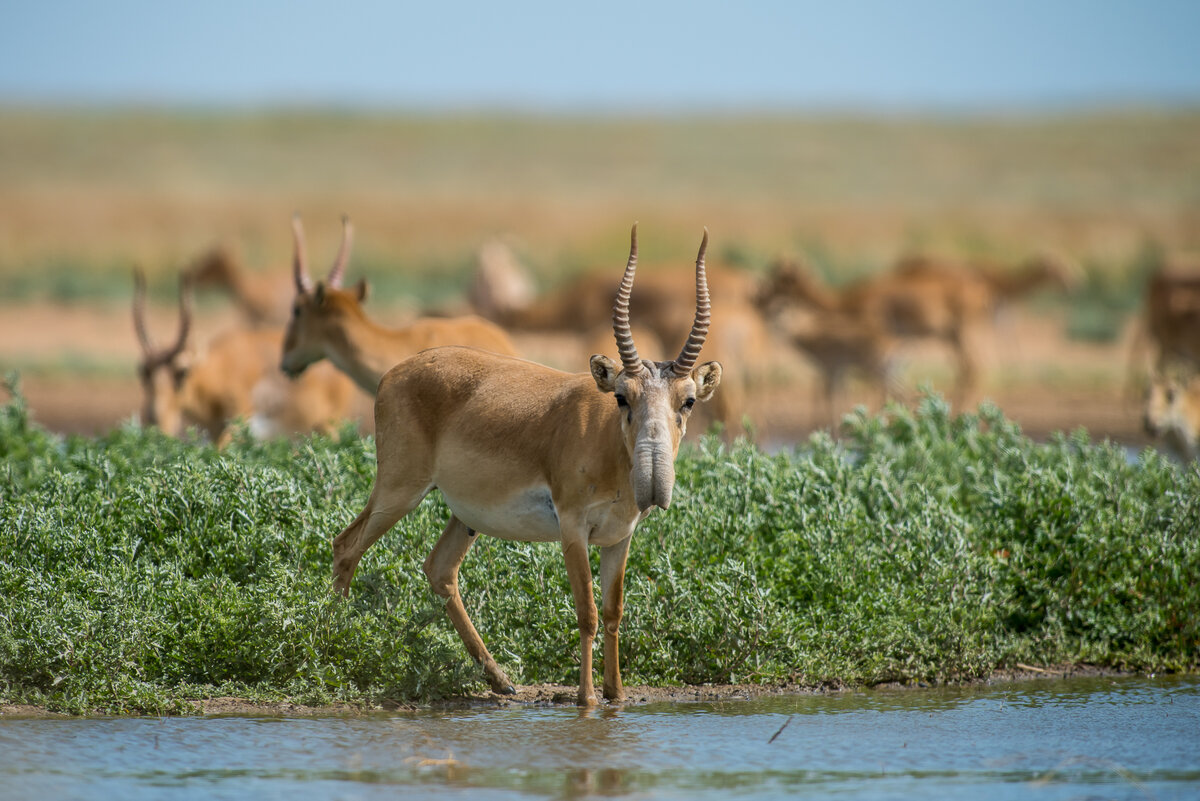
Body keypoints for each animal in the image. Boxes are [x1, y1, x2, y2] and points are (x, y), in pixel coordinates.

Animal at [134, 268, 355, 443]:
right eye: (143, 371)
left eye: (182, 371)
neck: (219, 369)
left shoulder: (237, 423)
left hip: (329, 425)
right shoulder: (215, 430)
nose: (154, 422)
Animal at [331, 221, 720, 705]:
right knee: (346, 545)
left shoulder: (619, 537)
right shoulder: (573, 530)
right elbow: (588, 612)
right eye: (621, 396)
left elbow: (613, 611)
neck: (605, 444)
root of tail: (394, 373)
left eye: (687, 400)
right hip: (399, 490)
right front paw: (586, 699)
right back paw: (334, 640)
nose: (652, 483)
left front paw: (615, 694)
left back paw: (501, 680)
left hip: (464, 516)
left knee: (439, 569)